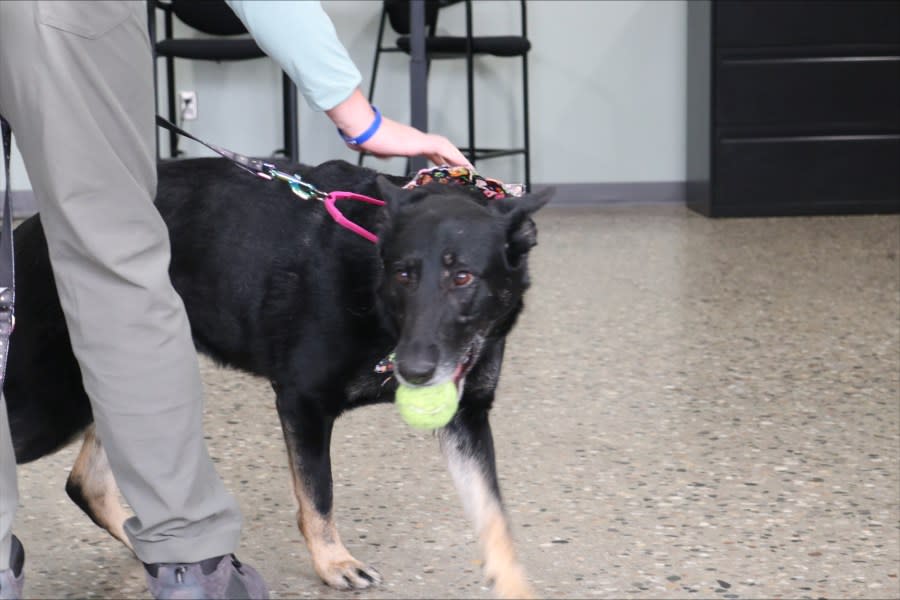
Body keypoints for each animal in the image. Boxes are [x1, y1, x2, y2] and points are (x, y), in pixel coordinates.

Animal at [5, 157, 548, 596]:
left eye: (463, 277)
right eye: (402, 274)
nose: (413, 371)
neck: (373, 295)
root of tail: (26, 234)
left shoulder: (467, 420)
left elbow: (494, 517)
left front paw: (514, 583)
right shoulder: (302, 403)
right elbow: (318, 494)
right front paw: (334, 562)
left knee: (86, 483)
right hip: (52, 403)